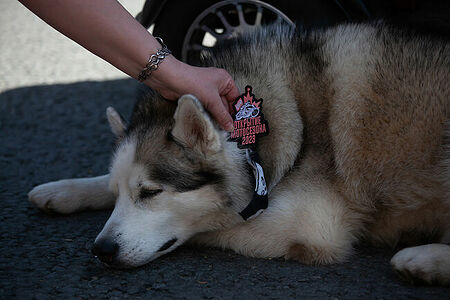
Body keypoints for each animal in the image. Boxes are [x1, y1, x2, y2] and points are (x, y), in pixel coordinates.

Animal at [29, 22, 450, 284]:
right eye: (118, 194)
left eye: (151, 193)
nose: (101, 250)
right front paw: (65, 189)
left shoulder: (313, 225)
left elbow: (213, 223)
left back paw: (423, 259)